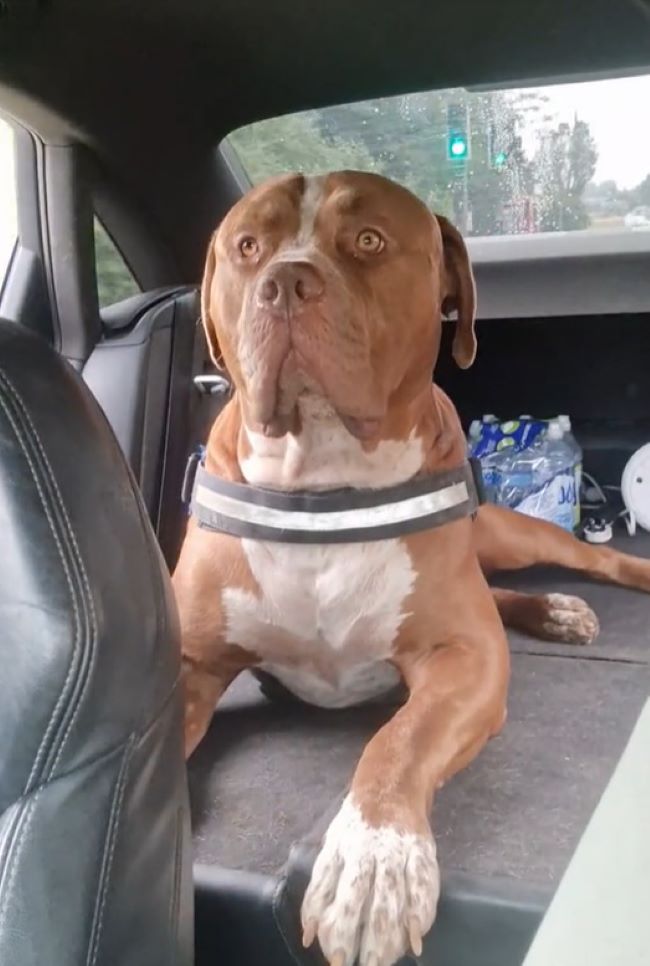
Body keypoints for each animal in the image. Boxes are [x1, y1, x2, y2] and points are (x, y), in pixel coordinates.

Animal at [173, 172, 650, 966]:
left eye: (368, 240)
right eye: (247, 247)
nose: (285, 283)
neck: (322, 483)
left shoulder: (465, 656)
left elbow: (399, 741)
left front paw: (373, 863)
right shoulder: (189, 662)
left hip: (509, 536)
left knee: (584, 558)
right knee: (502, 594)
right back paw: (552, 611)